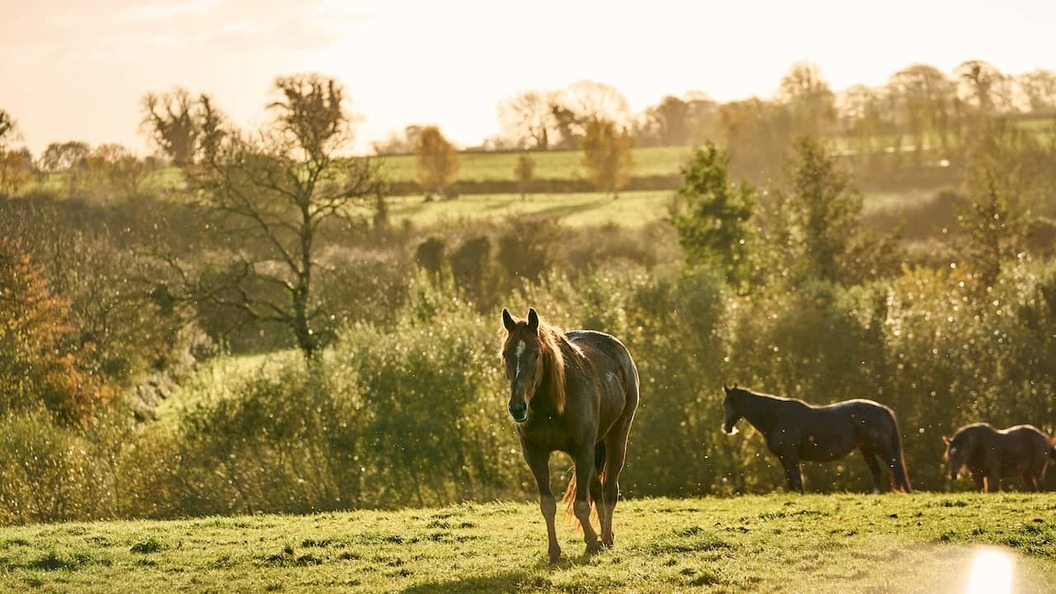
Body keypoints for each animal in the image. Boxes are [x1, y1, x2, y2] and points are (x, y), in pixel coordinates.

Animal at [500, 307, 640, 563]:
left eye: (535, 354)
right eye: (505, 354)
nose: (517, 407)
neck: (551, 407)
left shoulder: (582, 450)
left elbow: (581, 505)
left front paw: (593, 541)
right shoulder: (535, 454)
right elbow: (548, 505)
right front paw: (555, 551)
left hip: (617, 435)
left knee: (609, 489)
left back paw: (606, 538)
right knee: (596, 489)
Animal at [721, 384, 912, 493]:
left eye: (727, 403)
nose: (727, 428)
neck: (775, 417)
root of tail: (883, 409)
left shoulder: (790, 456)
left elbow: (796, 480)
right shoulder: (783, 458)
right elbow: (790, 481)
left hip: (880, 447)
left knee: (895, 466)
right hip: (866, 448)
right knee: (877, 471)